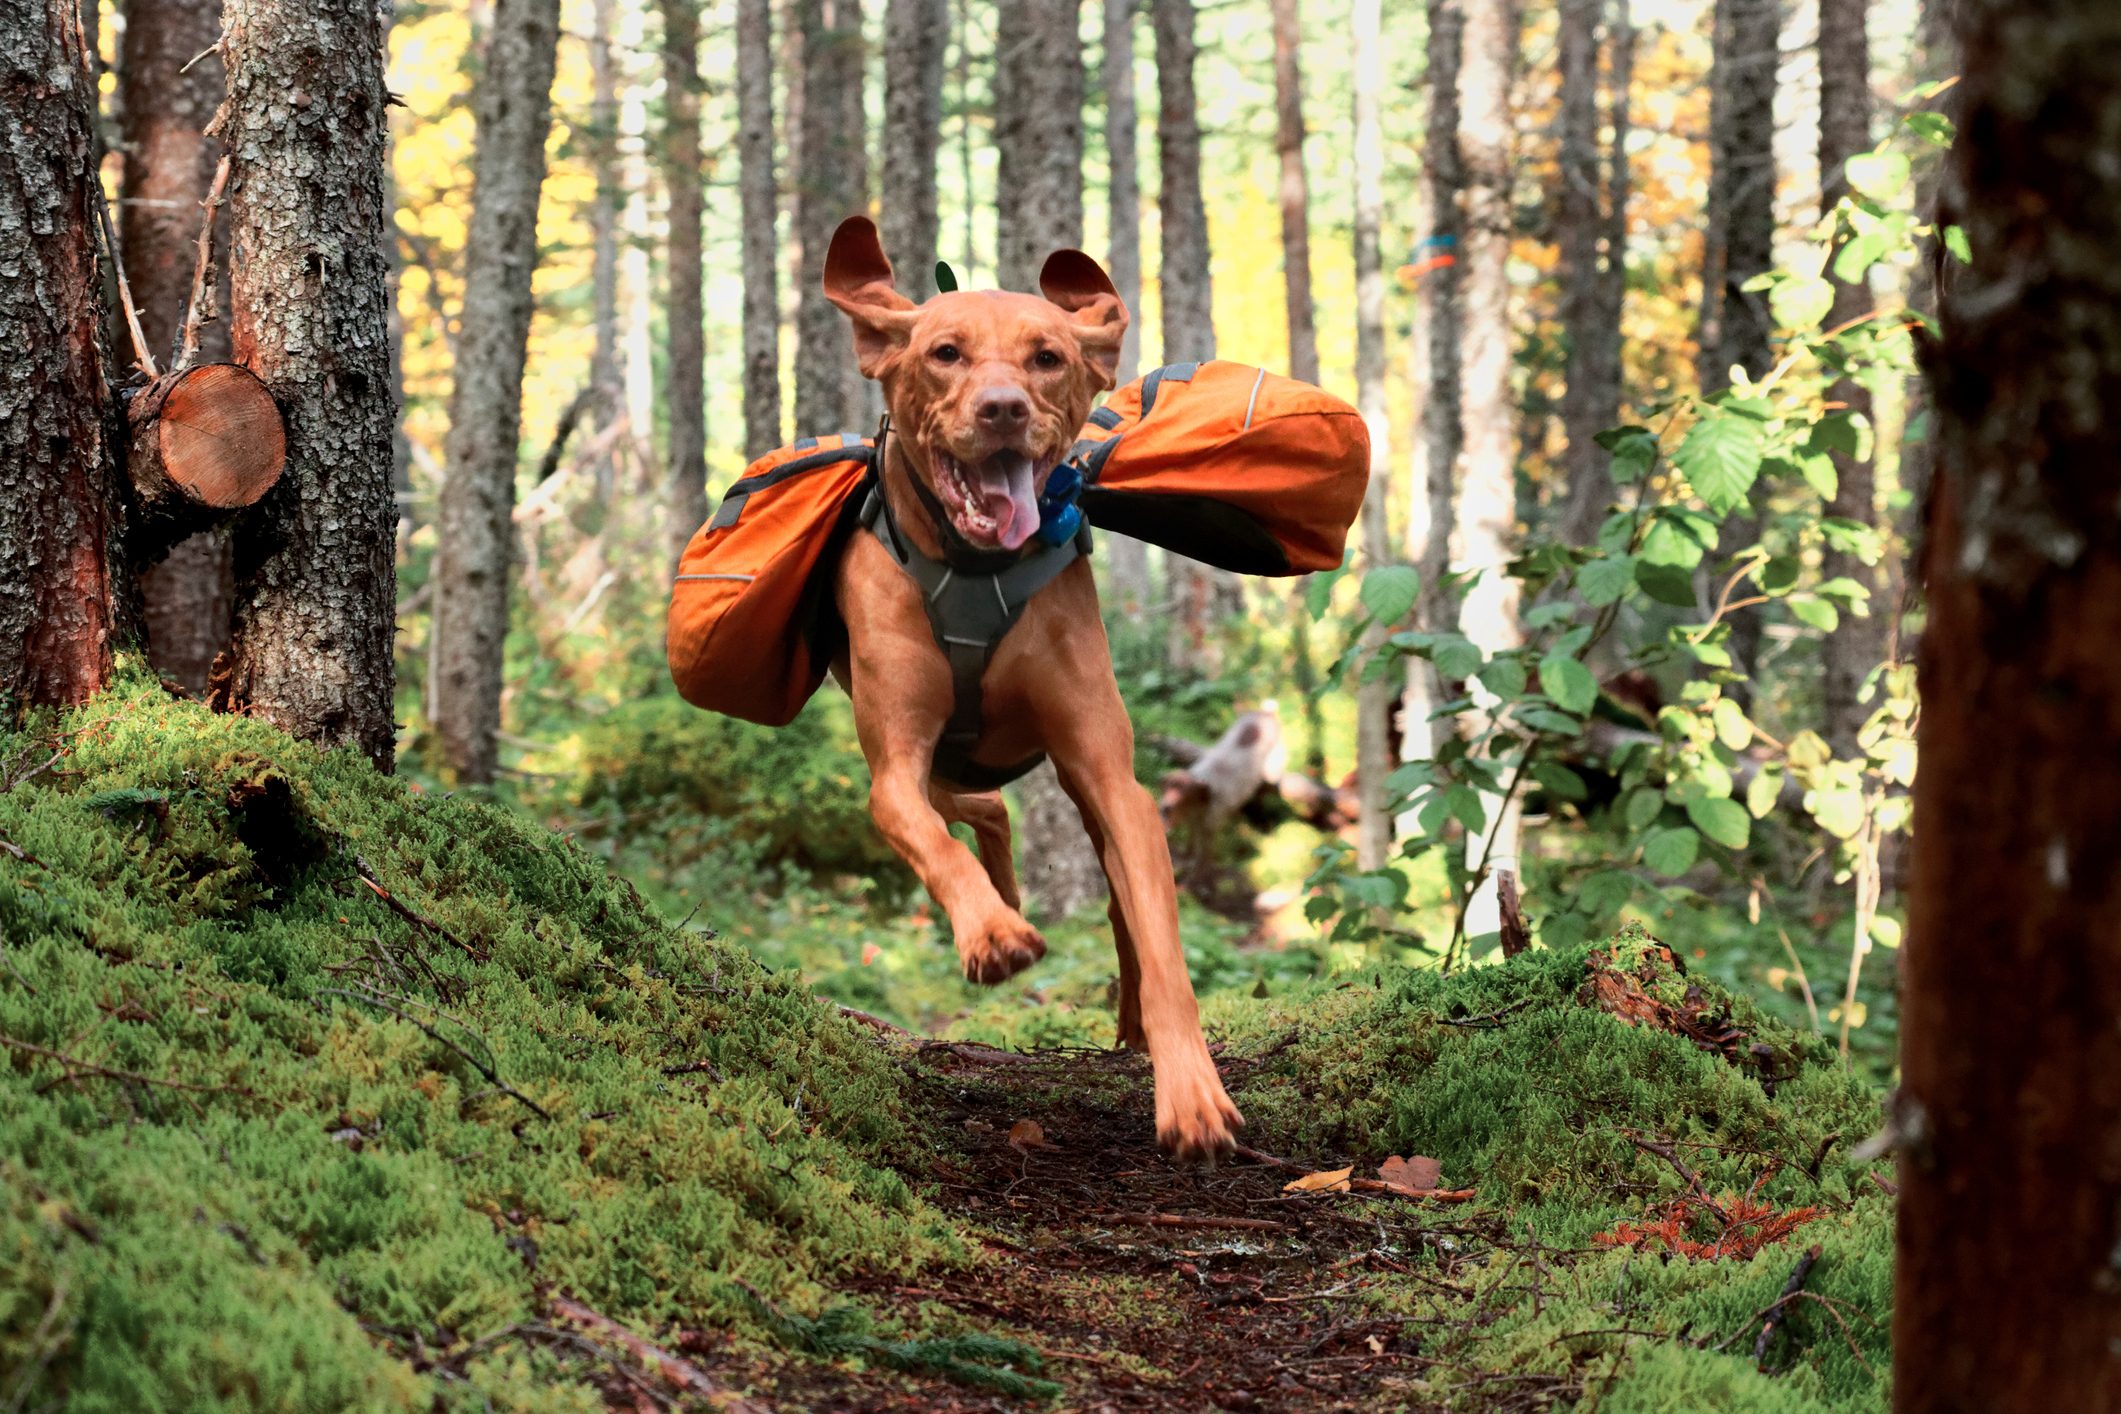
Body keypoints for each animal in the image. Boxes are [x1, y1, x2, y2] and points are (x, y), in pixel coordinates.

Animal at [814, 213, 1238, 1161]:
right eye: (944, 353)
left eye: (1046, 357)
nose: (1002, 408)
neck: (977, 566)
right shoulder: (894, 767)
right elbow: (925, 839)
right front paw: (993, 935)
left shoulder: (1109, 775)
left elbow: (1160, 940)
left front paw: (1190, 1090)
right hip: (933, 759)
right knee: (978, 811)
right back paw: (1000, 905)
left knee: (1101, 890)